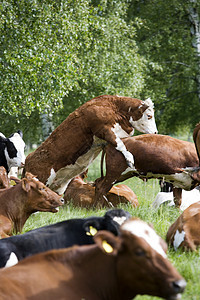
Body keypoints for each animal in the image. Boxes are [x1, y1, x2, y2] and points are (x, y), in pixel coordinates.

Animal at [21, 95, 156, 196]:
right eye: (149, 116)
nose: (155, 132)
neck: (114, 108)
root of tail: (29, 158)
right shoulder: (104, 130)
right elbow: (120, 144)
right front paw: (130, 159)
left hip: (60, 186)